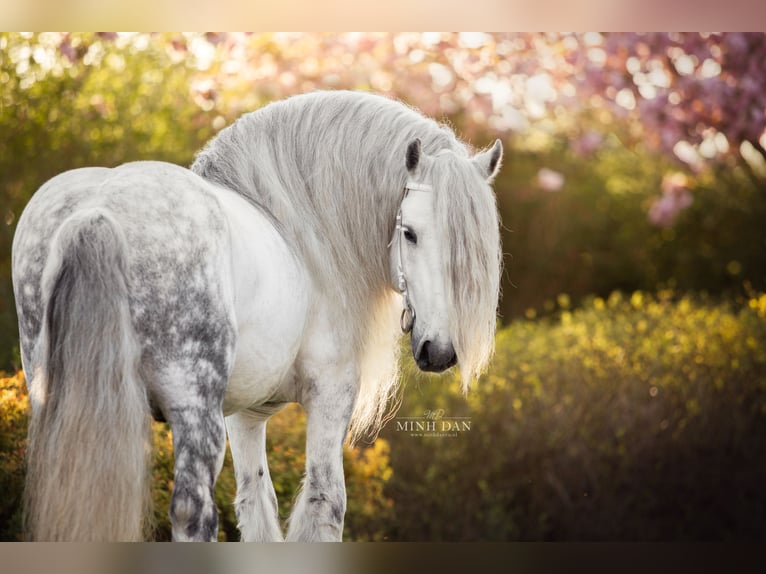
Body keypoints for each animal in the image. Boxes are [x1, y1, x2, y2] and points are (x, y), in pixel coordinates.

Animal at [11, 90, 503, 541]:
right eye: (410, 233)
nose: (439, 351)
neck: (301, 235)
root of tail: (98, 211)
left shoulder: (245, 416)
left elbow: (255, 503)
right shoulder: (330, 398)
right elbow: (325, 502)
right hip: (194, 411)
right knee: (193, 513)